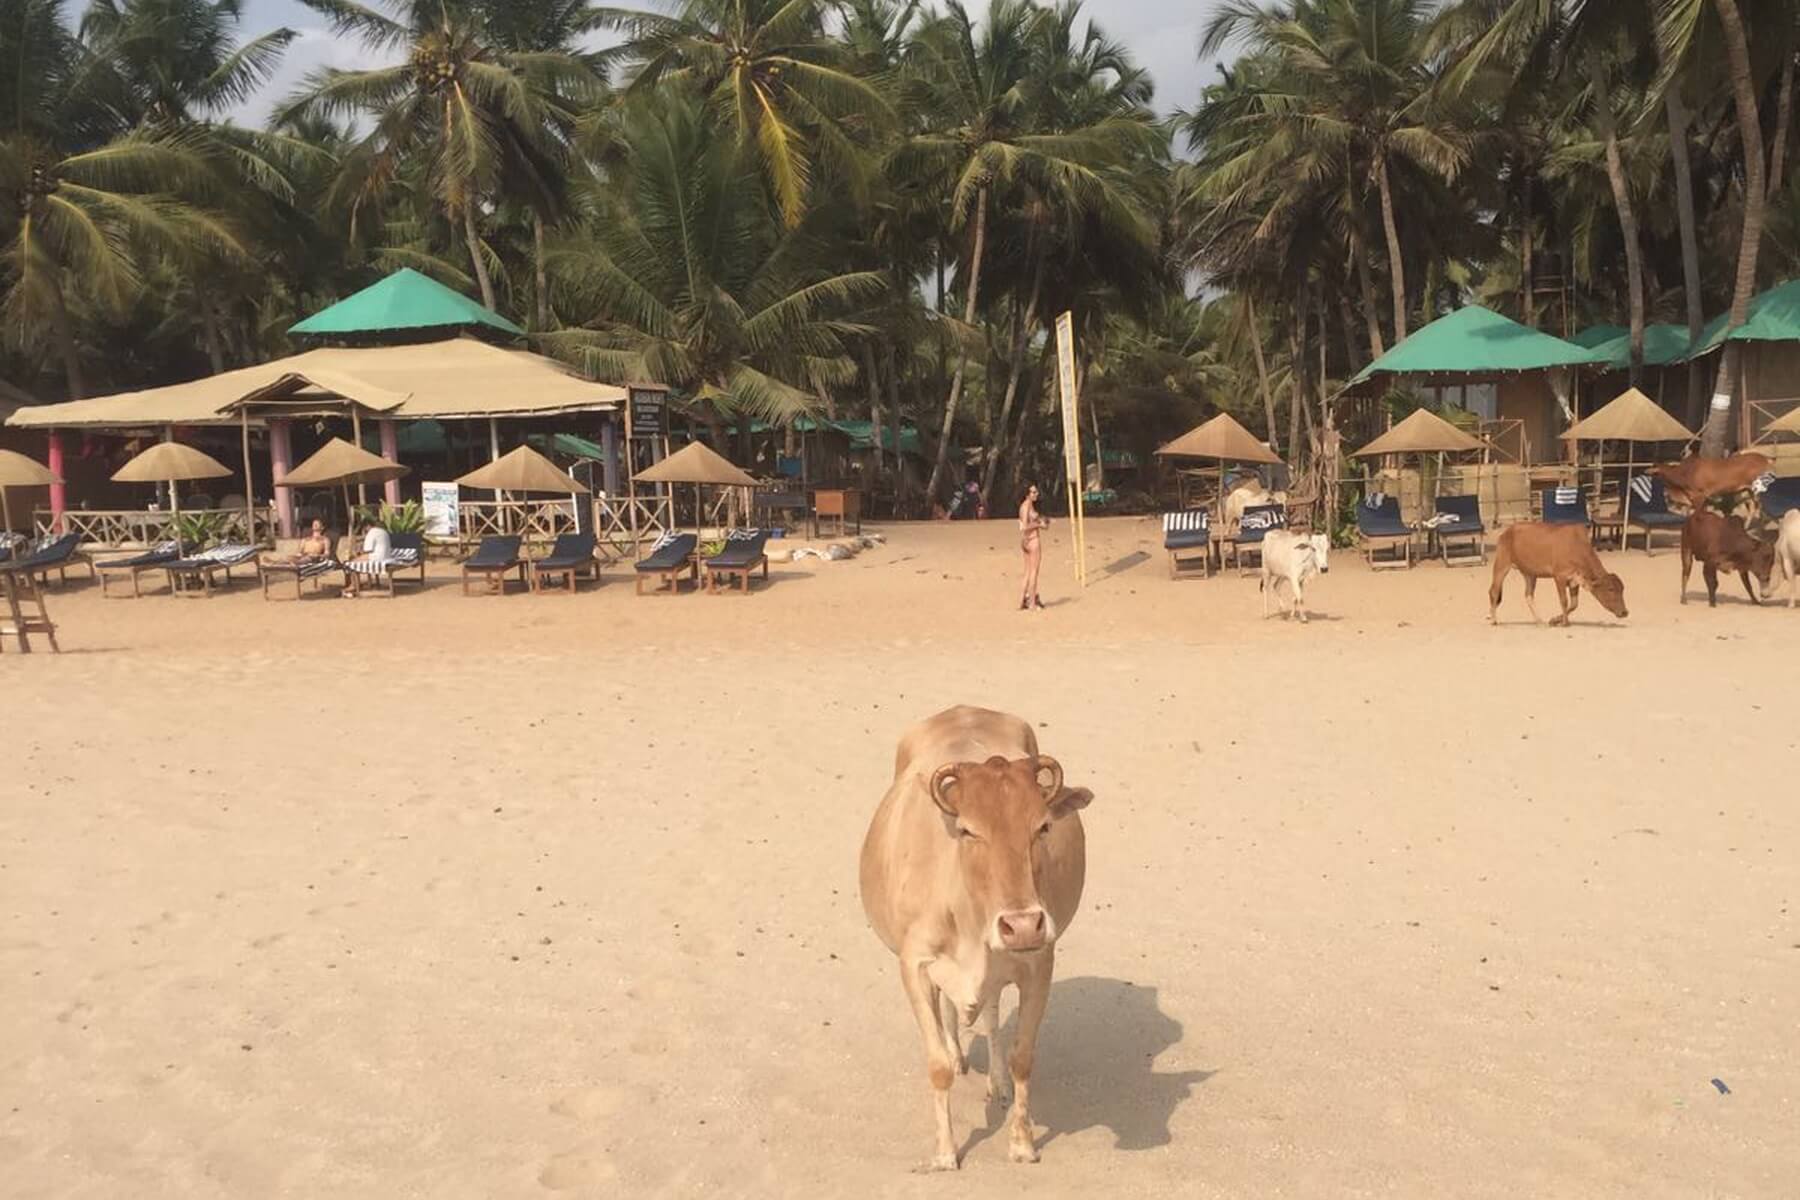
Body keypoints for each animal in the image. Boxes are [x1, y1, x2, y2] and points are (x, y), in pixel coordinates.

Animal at [860, 708, 1094, 1165]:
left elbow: (1022, 1056)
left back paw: (997, 1083)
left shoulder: (1038, 963)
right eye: (968, 830)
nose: (1022, 923)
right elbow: (937, 1066)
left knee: (989, 1015)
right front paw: (945, 1151)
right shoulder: (914, 967)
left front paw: (1022, 1142)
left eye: (1042, 827)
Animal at [1490, 525, 1634, 629]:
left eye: (1622, 589)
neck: (1576, 547)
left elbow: (1574, 604)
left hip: (1530, 574)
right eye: (1610, 589)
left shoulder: (1574, 580)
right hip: (1502, 565)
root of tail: (1507, 531)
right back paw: (1493, 619)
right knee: (1494, 591)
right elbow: (1564, 600)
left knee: (1528, 595)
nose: (1624, 612)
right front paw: (1565, 622)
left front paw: (1554, 620)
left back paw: (1539, 621)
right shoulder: (1559, 577)